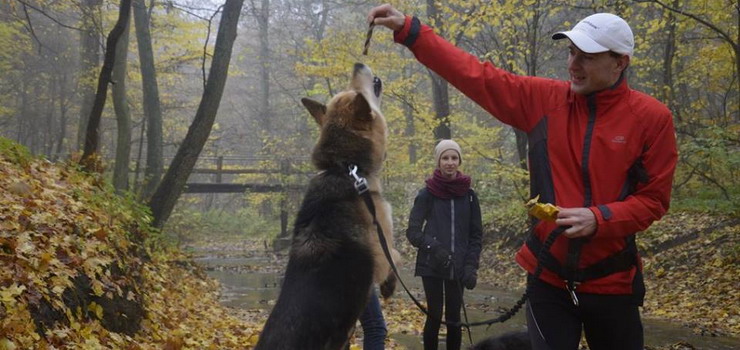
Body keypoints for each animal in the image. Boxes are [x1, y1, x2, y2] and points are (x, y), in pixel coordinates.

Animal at [258, 63, 402, 350]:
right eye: (355, 91)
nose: (358, 64)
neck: (344, 169)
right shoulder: (382, 244)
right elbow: (396, 256)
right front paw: (390, 286)